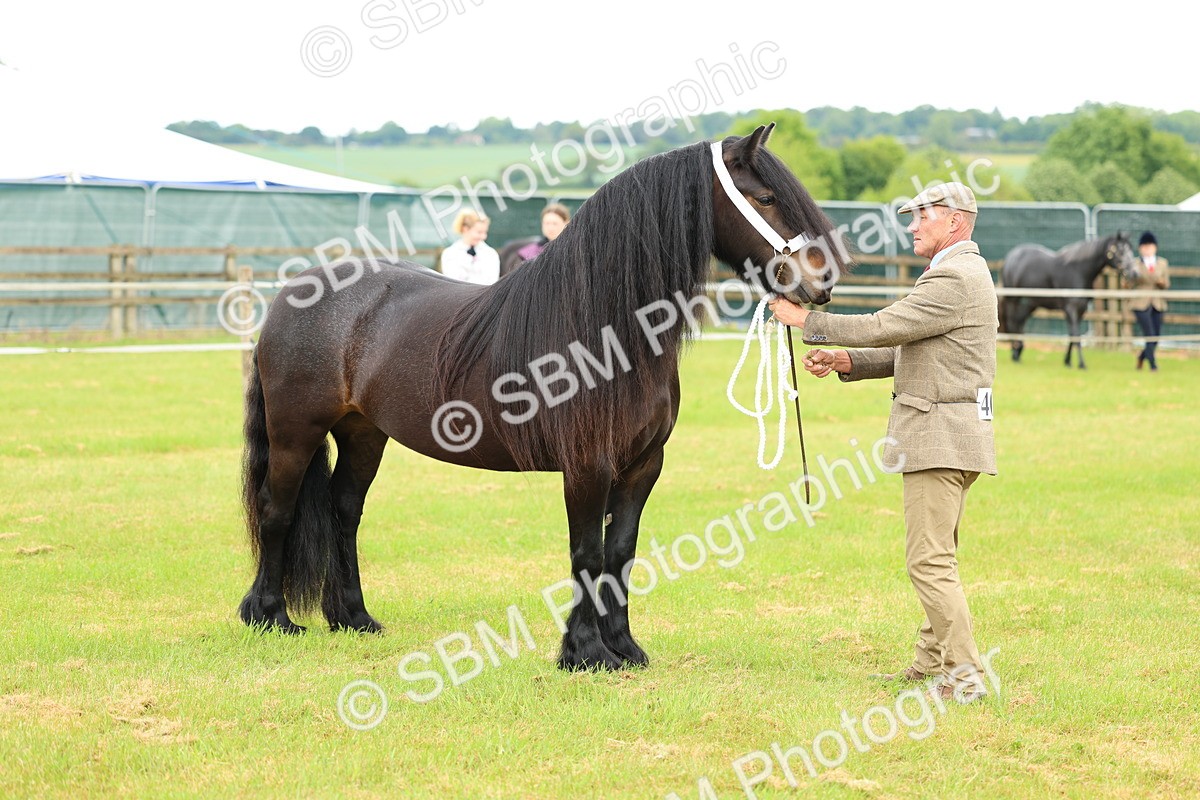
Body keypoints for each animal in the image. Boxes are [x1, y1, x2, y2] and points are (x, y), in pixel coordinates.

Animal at [237, 125, 849, 671]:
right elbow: (587, 551)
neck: (606, 330)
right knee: (277, 509)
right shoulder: (586, 463)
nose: (821, 286)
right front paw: (586, 653)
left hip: (364, 434)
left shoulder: (643, 464)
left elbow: (620, 552)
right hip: (295, 433)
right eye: (765, 198)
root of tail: (294, 292)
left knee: (344, 510)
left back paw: (353, 618)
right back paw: (269, 617)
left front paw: (625, 648)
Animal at [999, 233, 1140, 369]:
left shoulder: (1081, 309)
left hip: (1032, 303)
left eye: (1130, 249)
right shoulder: (1070, 308)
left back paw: (1018, 353)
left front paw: (1067, 361)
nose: (1134, 273)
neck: (1078, 270)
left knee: (1019, 320)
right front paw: (1082, 364)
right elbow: (1076, 335)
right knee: (1012, 322)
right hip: (1013, 300)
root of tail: (1011, 257)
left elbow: (1072, 335)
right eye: (1120, 251)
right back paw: (1015, 352)